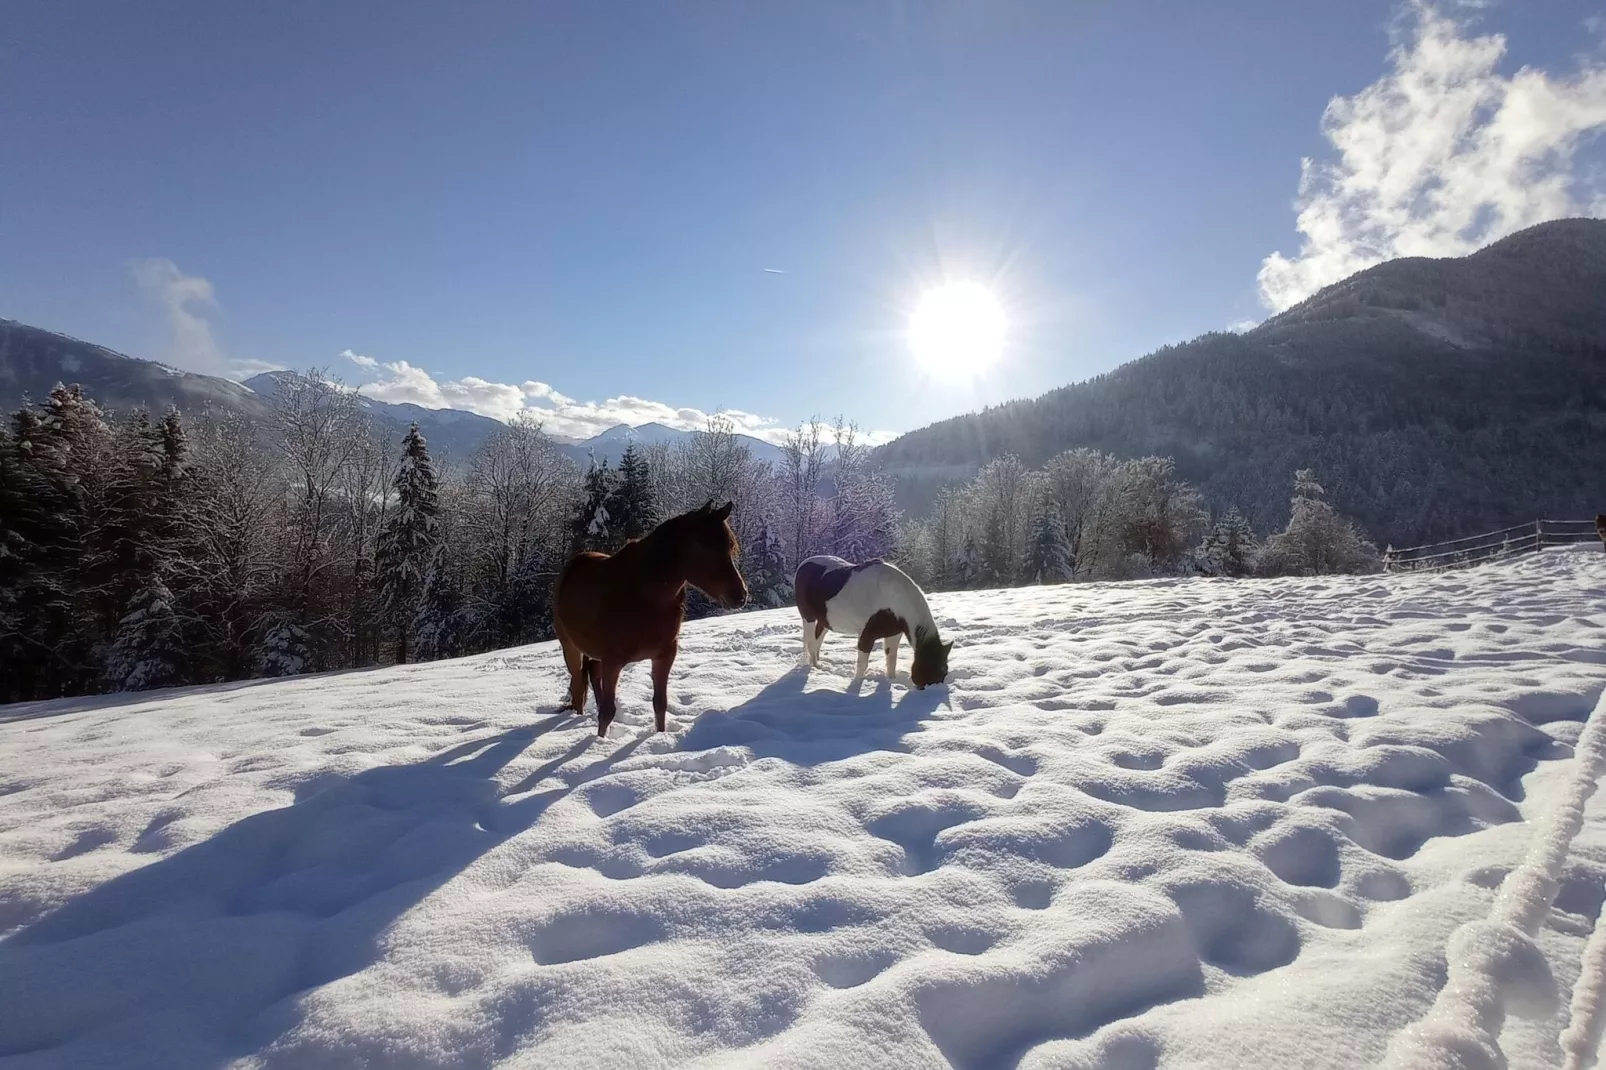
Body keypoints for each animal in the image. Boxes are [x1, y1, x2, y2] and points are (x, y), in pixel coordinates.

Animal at [555, 501, 748, 732]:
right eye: (703, 546)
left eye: (730, 546)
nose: (740, 595)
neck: (646, 595)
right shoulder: (613, 661)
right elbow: (608, 712)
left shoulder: (664, 655)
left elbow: (660, 704)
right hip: (571, 649)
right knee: (578, 686)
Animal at [793, 552, 944, 687]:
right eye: (931, 668)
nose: (934, 689)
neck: (892, 598)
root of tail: (804, 563)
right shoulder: (867, 636)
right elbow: (862, 665)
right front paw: (857, 685)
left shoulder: (893, 634)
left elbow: (891, 660)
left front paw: (891, 681)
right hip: (808, 618)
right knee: (809, 643)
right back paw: (812, 669)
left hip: (825, 621)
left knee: (816, 642)